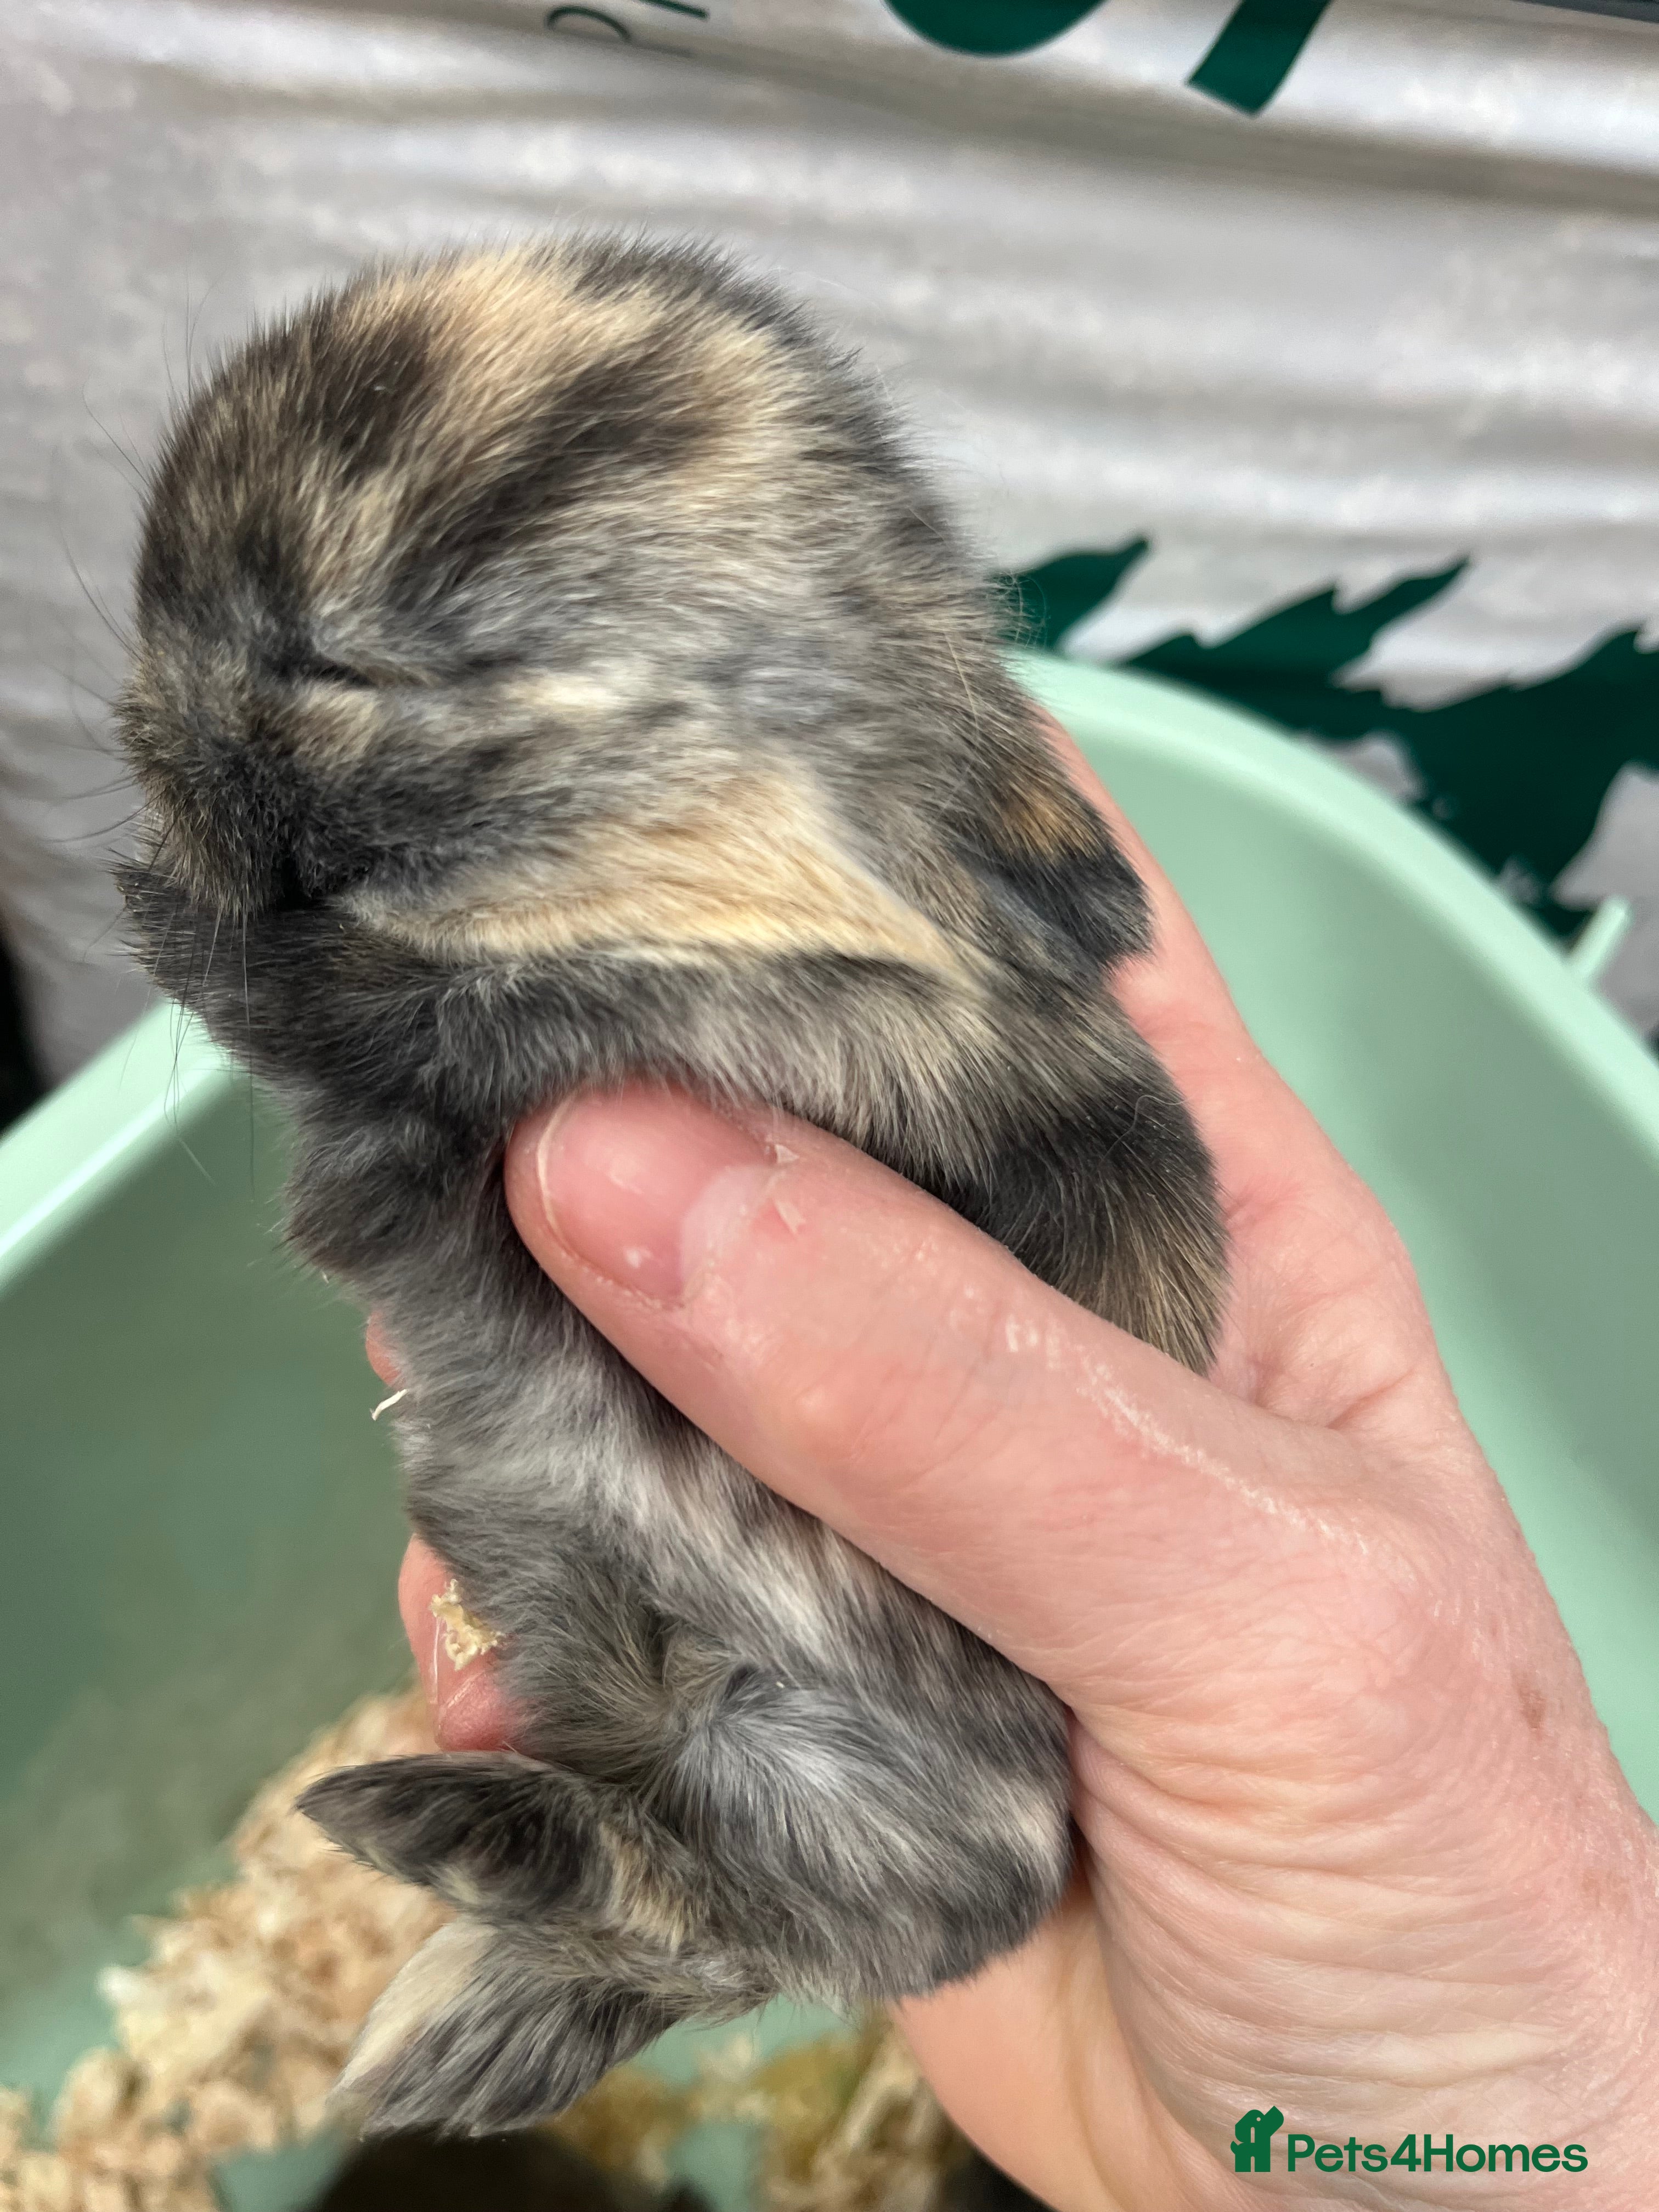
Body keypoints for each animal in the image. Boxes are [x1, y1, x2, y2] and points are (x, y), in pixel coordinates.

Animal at [116, 237, 1226, 2138]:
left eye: (329, 661)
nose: (142, 722)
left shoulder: (760, 1025)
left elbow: (393, 1008)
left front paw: (187, 915)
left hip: (864, 1796)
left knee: (723, 1911)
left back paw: (444, 1829)